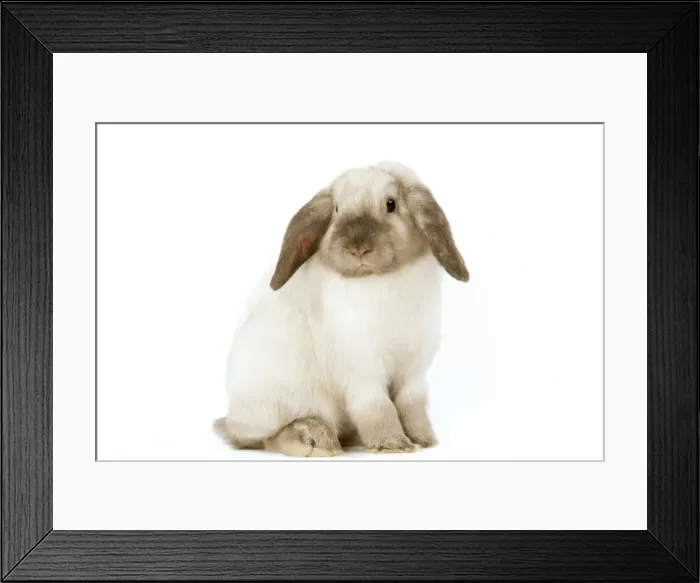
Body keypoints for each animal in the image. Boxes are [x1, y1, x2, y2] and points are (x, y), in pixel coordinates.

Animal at [214, 161, 469, 457]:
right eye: (336, 210)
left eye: (391, 204)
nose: (357, 248)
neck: (378, 280)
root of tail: (233, 419)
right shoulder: (363, 369)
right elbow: (377, 407)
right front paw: (393, 444)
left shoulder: (413, 369)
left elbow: (411, 405)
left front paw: (423, 439)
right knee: (267, 438)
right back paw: (315, 441)